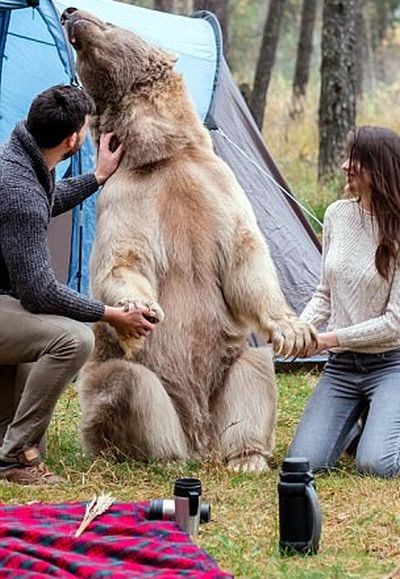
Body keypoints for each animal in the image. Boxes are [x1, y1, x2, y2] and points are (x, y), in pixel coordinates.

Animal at [61, 7, 316, 472]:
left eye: (108, 21)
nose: (71, 12)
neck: (162, 152)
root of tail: (199, 437)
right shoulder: (126, 196)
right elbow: (123, 259)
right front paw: (141, 308)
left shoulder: (216, 185)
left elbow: (245, 255)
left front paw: (293, 330)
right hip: (135, 384)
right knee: (127, 384)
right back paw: (163, 457)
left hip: (226, 367)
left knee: (254, 369)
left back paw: (246, 457)